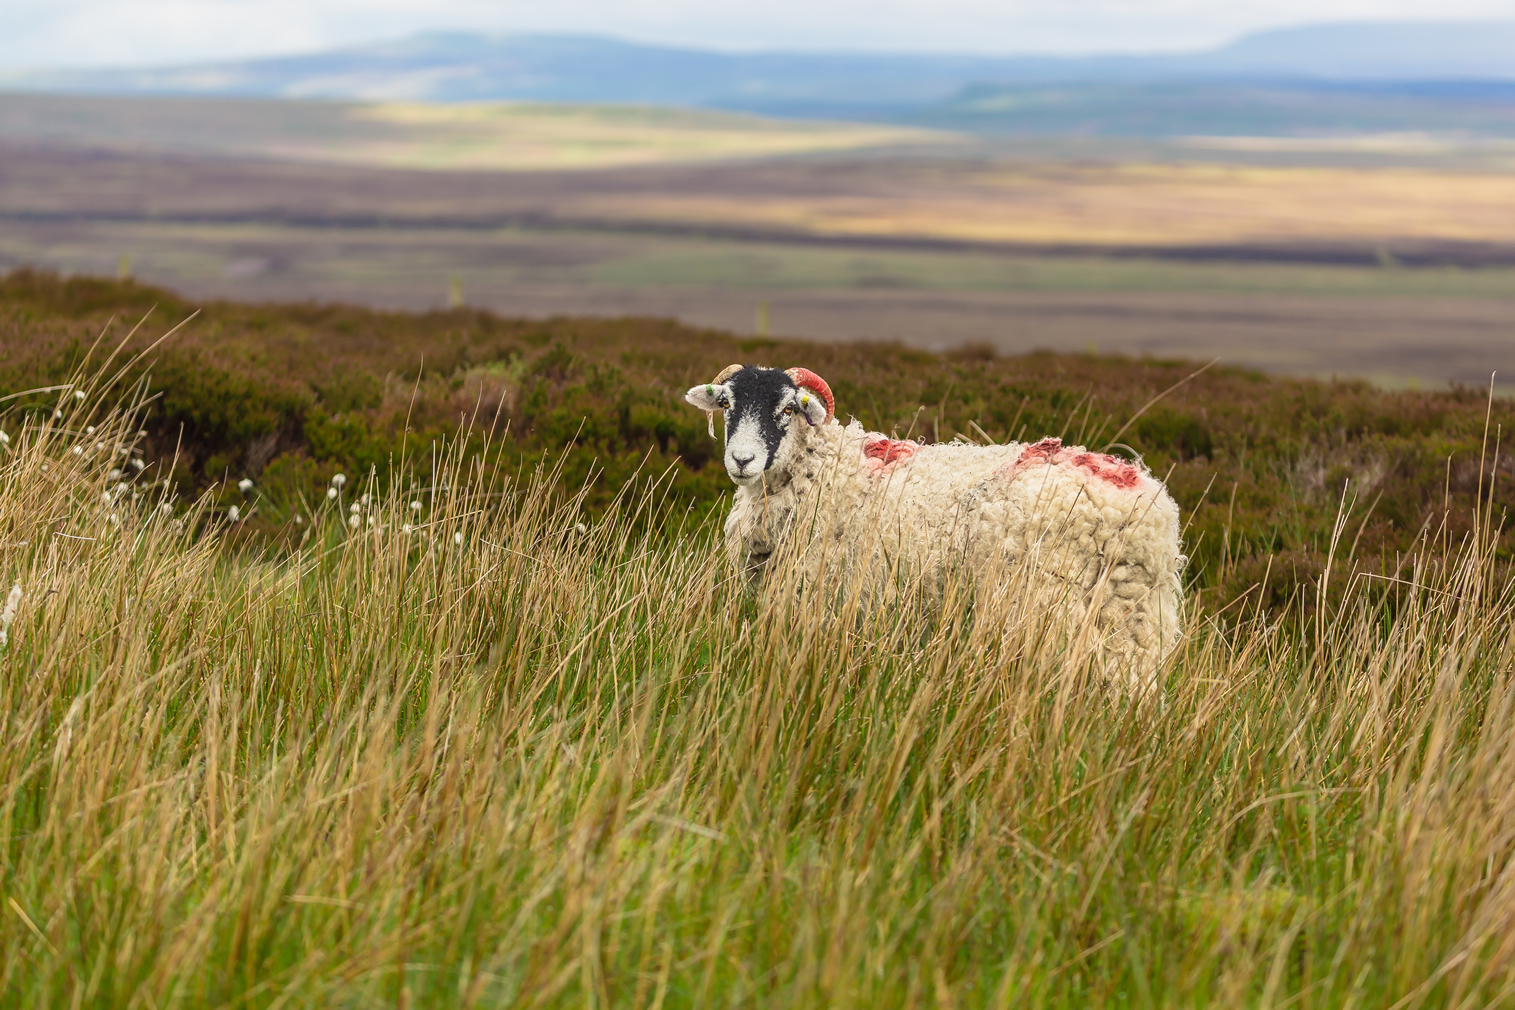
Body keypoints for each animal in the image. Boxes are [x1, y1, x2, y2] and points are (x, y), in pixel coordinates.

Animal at [685, 363, 1186, 690]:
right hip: (1135, 618)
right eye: (726, 403)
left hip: (1053, 608)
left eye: (788, 409)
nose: (742, 460)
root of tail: (1142, 512)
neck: (825, 465)